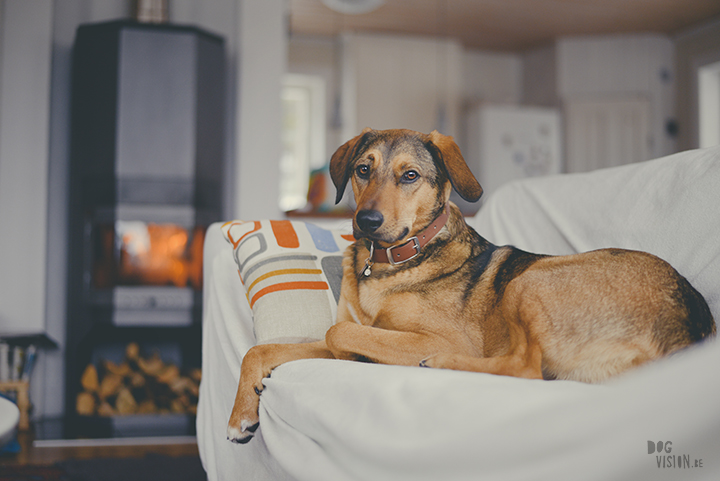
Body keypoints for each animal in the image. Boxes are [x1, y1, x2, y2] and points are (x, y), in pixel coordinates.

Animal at [225, 126, 716, 442]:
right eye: (363, 170)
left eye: (410, 175)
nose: (366, 222)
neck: (388, 263)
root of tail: (692, 326)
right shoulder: (360, 329)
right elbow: (261, 349)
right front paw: (239, 416)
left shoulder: (433, 335)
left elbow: (338, 331)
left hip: (530, 280)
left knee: (526, 368)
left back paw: (441, 364)